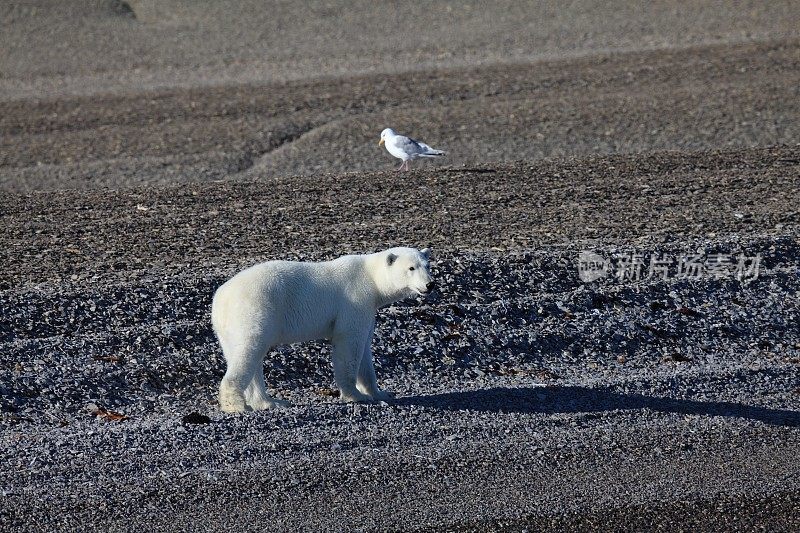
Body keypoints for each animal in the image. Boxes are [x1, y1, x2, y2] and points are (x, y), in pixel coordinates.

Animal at [211, 245, 432, 412]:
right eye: (411, 268)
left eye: (427, 265)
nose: (430, 284)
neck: (371, 278)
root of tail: (221, 299)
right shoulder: (355, 300)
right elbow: (349, 344)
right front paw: (355, 395)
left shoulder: (368, 309)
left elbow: (365, 350)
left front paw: (380, 393)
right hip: (255, 310)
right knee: (249, 351)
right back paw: (237, 405)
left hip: (228, 328)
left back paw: (271, 402)